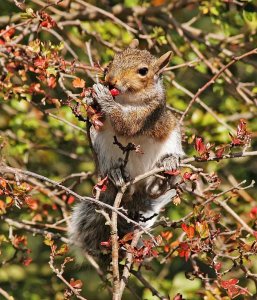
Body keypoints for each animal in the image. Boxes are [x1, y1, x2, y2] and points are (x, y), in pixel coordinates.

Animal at [69, 39, 183, 258]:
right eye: (113, 59)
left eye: (143, 71)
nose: (110, 80)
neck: (126, 98)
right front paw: (90, 98)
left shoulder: (148, 113)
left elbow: (127, 124)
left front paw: (104, 97)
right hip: (102, 150)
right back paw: (117, 175)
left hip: (172, 137)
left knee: (153, 190)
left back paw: (164, 173)